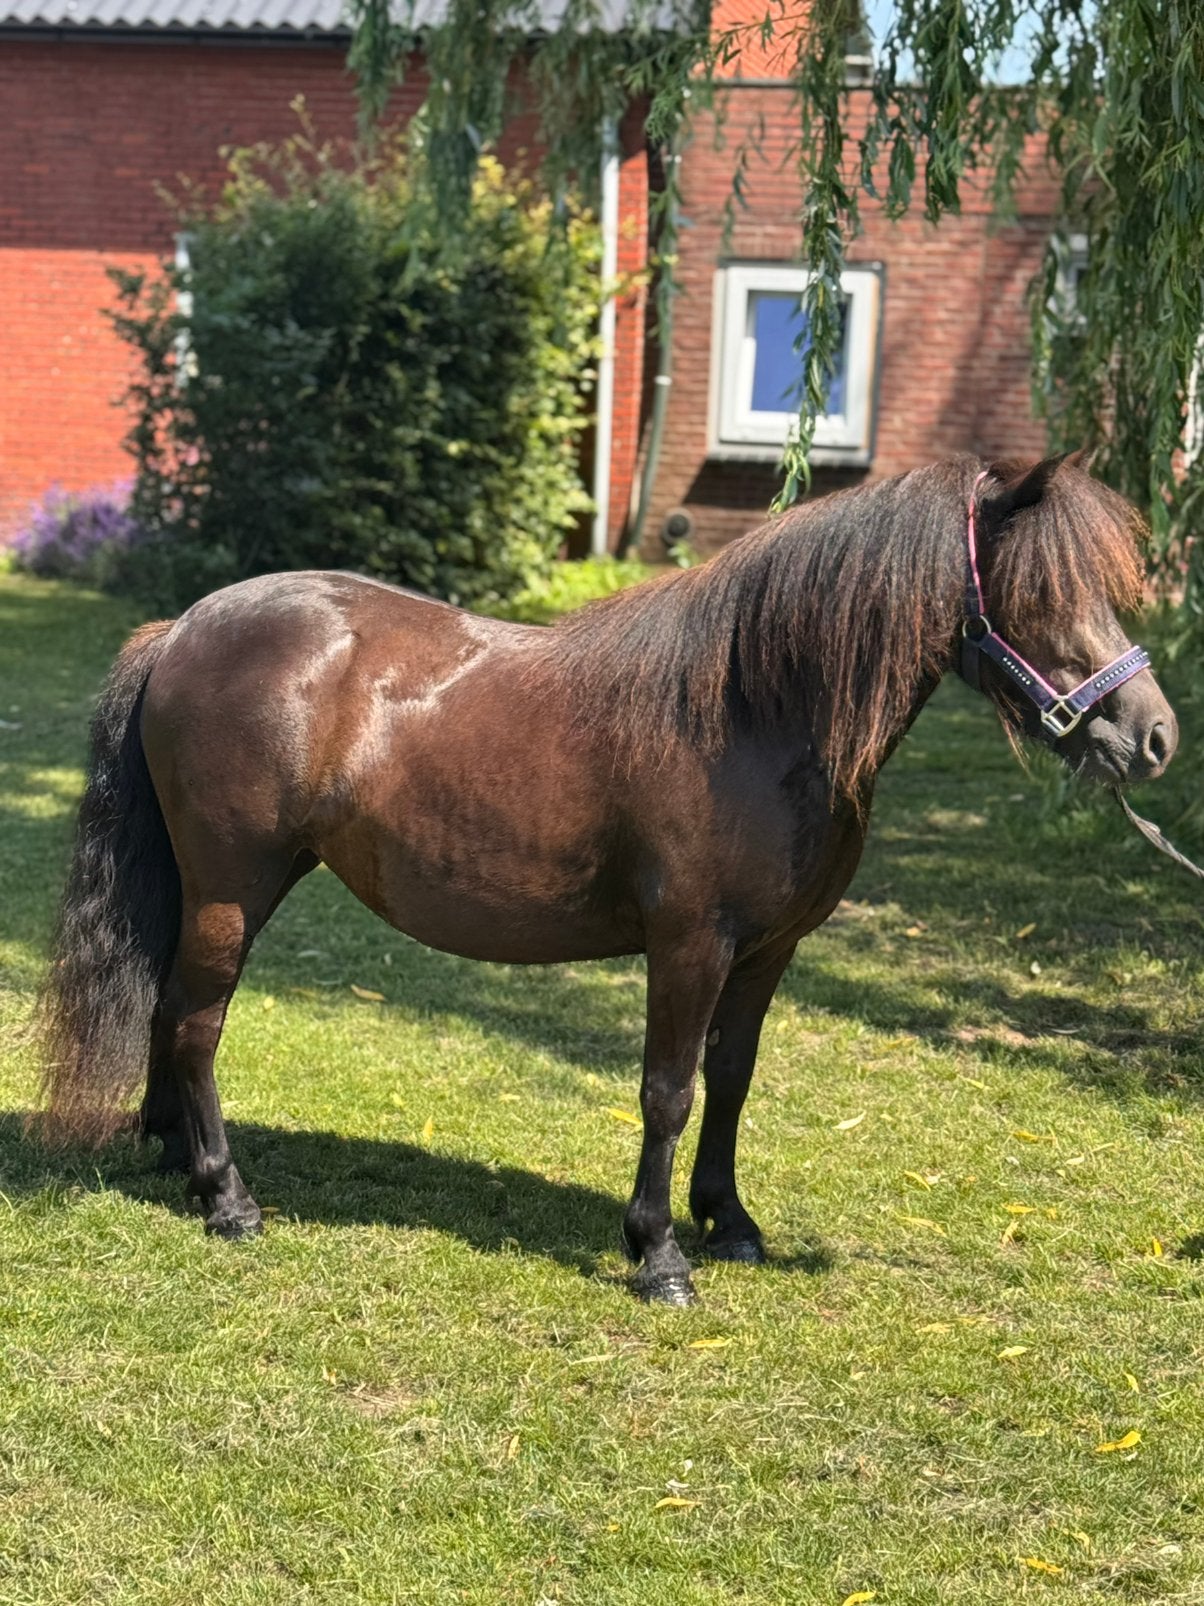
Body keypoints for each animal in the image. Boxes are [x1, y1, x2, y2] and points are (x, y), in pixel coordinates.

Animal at [37, 452, 1177, 1305]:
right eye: (1038, 593)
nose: (1153, 735)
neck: (753, 710)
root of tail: (184, 628)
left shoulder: (768, 949)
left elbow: (732, 1078)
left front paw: (730, 1221)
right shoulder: (691, 943)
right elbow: (667, 1090)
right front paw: (659, 1252)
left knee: (168, 1008)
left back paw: (174, 1161)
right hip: (236, 885)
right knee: (196, 1021)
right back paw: (229, 1199)